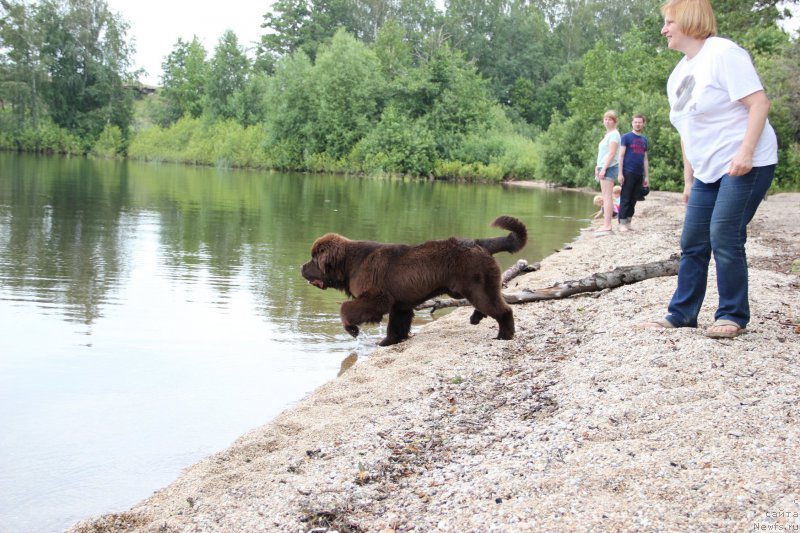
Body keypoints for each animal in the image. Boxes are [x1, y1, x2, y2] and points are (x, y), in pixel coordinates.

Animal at [298, 215, 524, 344]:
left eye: (313, 259)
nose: (301, 267)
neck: (351, 263)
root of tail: (479, 243)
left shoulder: (377, 297)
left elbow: (346, 308)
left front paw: (352, 329)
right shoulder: (400, 304)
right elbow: (397, 325)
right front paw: (388, 342)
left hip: (477, 285)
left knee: (503, 310)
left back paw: (504, 335)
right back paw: (477, 318)